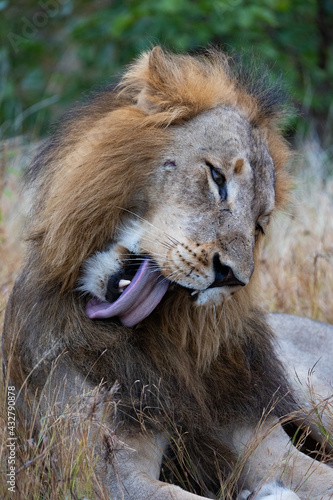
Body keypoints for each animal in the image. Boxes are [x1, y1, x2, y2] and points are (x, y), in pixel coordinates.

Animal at [2, 47, 332, 500]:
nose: (232, 277)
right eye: (217, 177)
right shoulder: (107, 473)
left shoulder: (265, 447)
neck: (166, 344)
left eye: (260, 225)